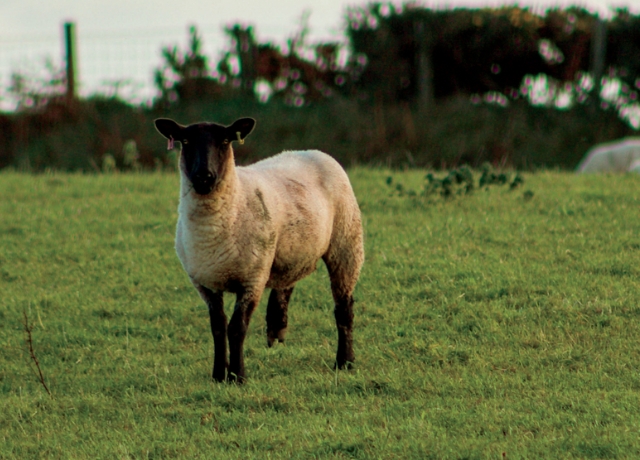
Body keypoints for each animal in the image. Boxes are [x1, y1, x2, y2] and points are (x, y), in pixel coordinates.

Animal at [154, 117, 364, 383]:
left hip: (346, 242)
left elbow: (236, 328)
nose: (204, 176)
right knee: (285, 286)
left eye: (225, 141)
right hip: (288, 251)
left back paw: (344, 361)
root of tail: (312, 151)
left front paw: (238, 376)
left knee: (344, 308)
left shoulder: (252, 279)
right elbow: (217, 328)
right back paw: (276, 332)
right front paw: (218, 375)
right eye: (185, 141)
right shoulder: (206, 284)